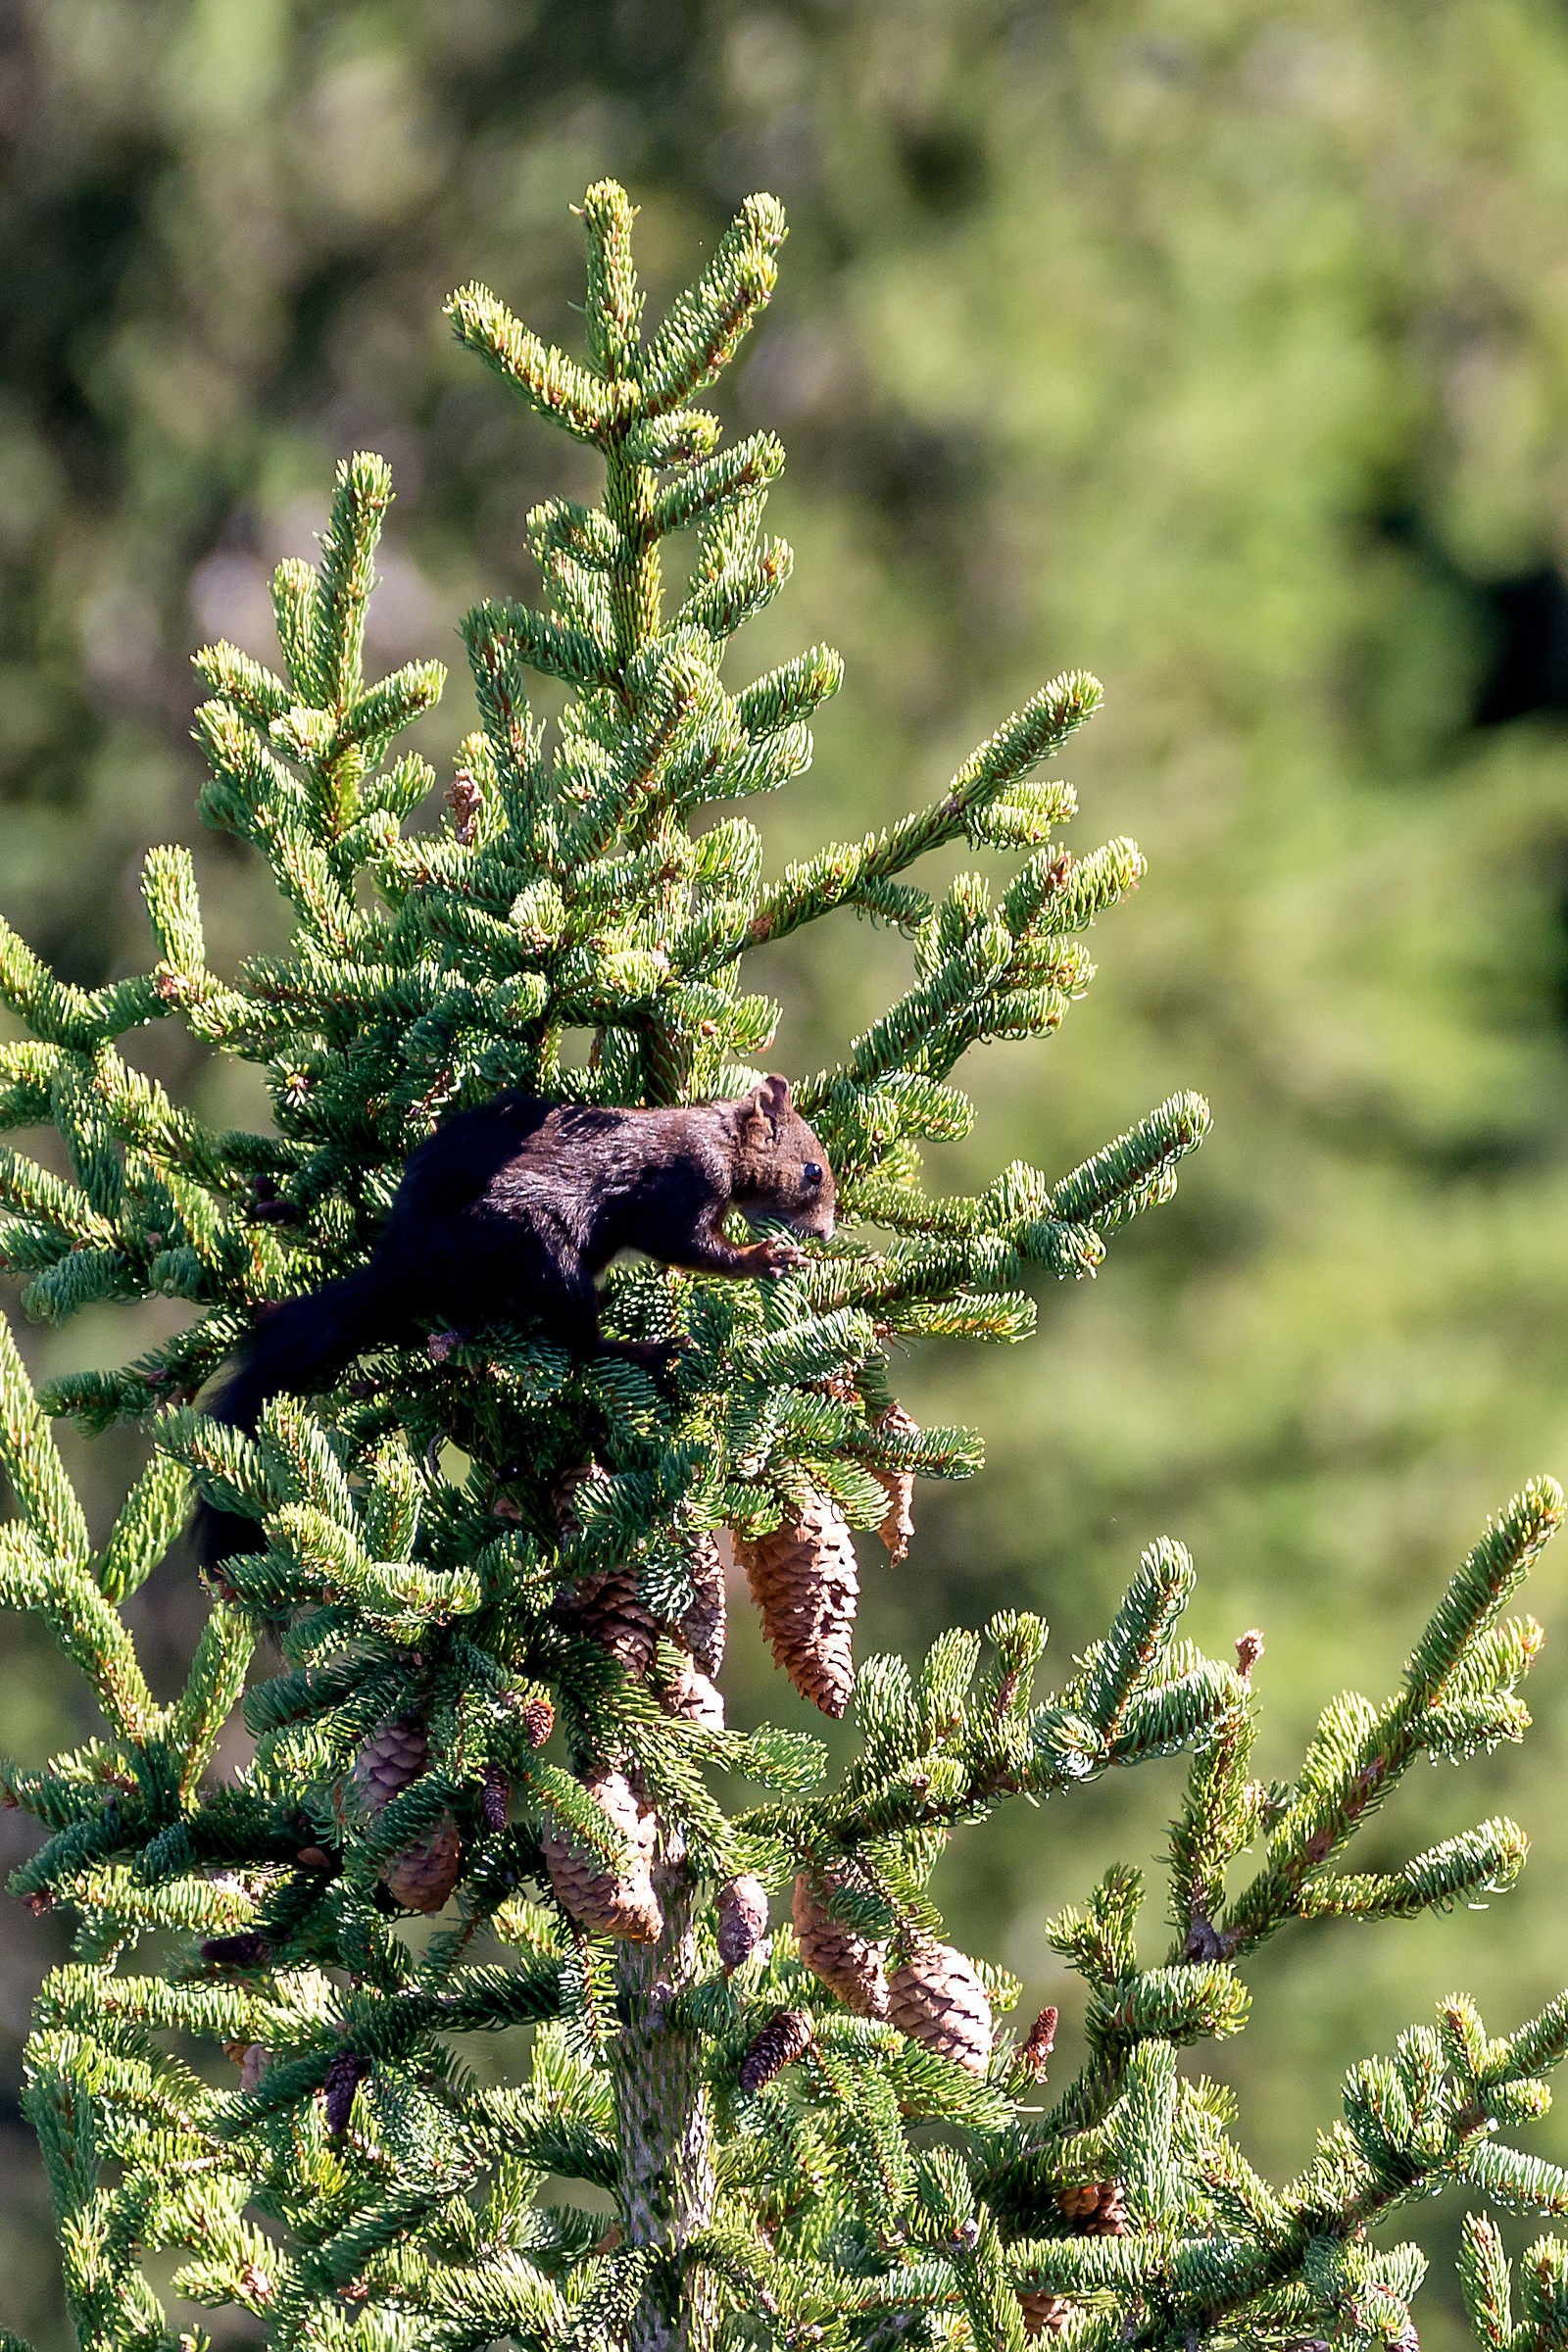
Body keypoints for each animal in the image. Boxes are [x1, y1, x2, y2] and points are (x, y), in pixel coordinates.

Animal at [194, 1074, 835, 1564]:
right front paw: (765, 1258)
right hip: (538, 1245)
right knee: (580, 1342)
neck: (718, 1138)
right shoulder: (681, 1187)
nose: (827, 1234)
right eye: (813, 1172)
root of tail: (401, 1259)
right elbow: (691, 1248)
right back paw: (648, 1351)